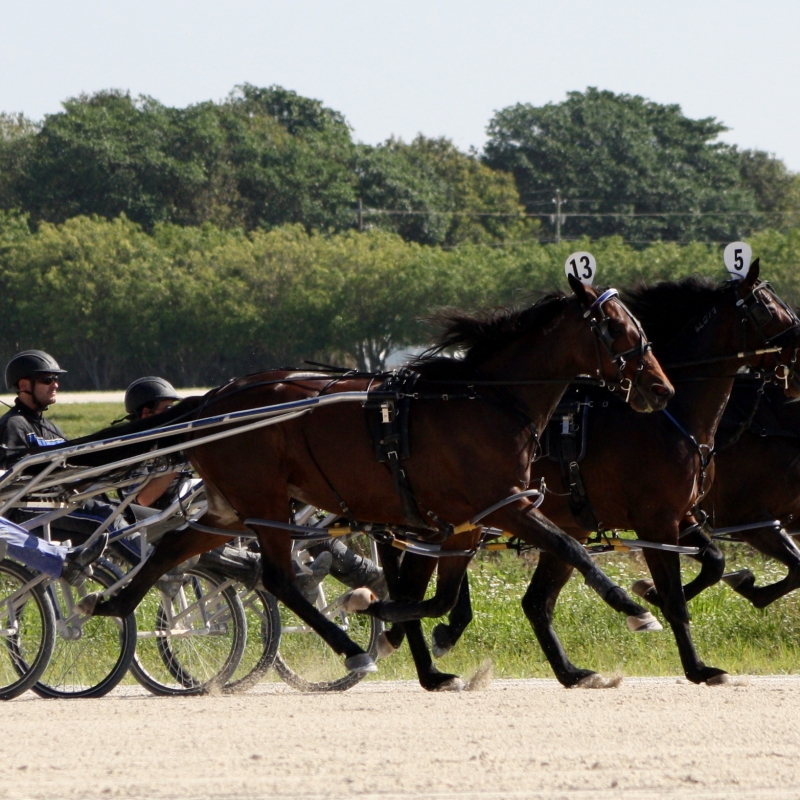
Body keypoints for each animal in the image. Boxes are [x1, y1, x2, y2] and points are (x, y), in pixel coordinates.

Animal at [79, 276, 676, 680]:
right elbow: (571, 549)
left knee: (175, 545)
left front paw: (386, 613)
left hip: (232, 505)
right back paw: (349, 651)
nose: (661, 388)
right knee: (277, 579)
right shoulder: (506, 505)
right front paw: (635, 611)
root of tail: (216, 399)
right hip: (265, 501)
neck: (483, 401)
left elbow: (436, 598)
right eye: (616, 327)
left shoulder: (464, 523)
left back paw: (109, 604)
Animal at [412, 262, 800, 688]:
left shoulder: (685, 515)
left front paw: (653, 594)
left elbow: (714, 561)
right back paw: (432, 661)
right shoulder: (664, 521)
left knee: (535, 602)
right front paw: (696, 665)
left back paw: (565, 671)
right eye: (767, 308)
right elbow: (677, 599)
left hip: (558, 524)